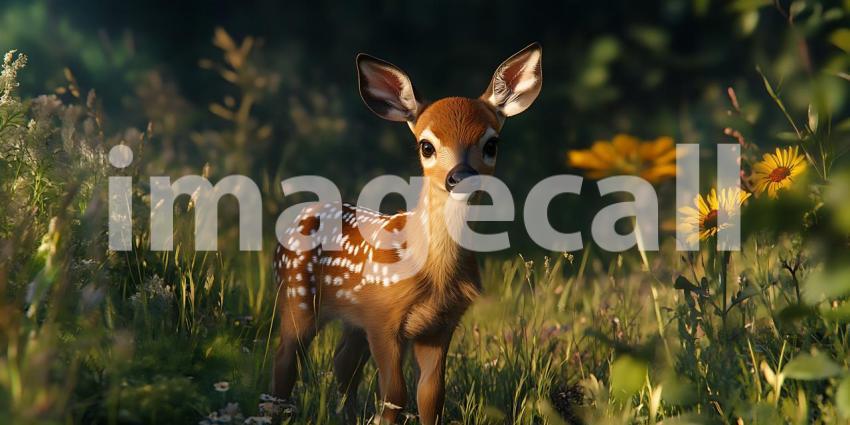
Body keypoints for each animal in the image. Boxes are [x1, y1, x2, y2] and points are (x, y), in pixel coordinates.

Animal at [272, 43, 542, 424]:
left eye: (492, 144)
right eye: (426, 145)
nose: (460, 176)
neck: (433, 272)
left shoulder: (439, 326)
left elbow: (430, 396)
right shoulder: (384, 318)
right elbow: (394, 396)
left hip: (353, 320)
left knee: (343, 364)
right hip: (296, 296)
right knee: (285, 360)